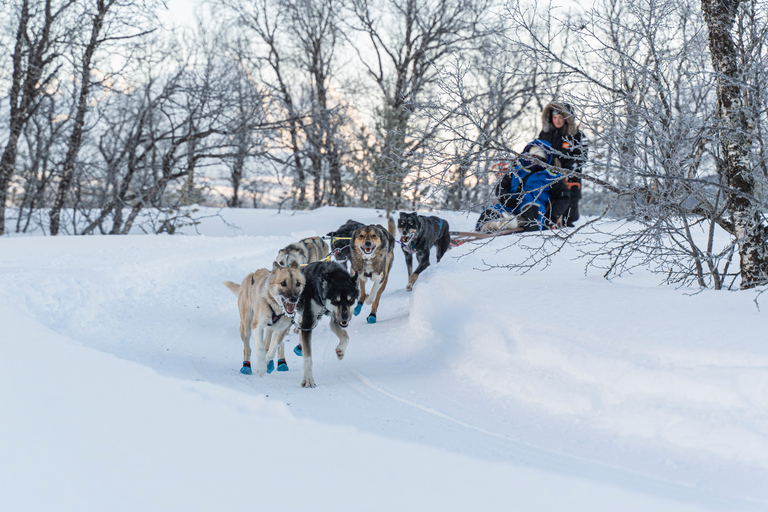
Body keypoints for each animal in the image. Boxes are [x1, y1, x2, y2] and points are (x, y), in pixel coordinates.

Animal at [292, 260, 358, 388]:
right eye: (335, 300)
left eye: (351, 300)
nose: (345, 316)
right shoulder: (308, 322)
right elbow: (308, 358)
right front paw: (308, 379)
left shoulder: (335, 319)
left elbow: (345, 336)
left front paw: (341, 350)